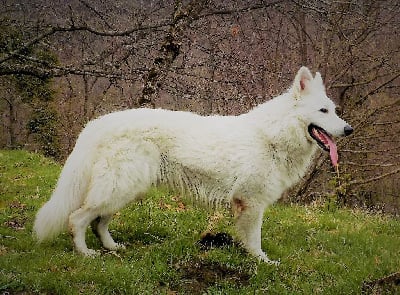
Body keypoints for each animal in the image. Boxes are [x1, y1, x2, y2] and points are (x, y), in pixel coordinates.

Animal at [34, 67, 354, 266]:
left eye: (334, 110)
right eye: (323, 111)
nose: (349, 129)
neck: (273, 135)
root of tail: (100, 123)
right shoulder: (251, 204)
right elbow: (255, 240)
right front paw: (261, 262)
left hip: (125, 190)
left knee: (99, 222)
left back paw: (112, 248)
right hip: (118, 189)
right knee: (77, 219)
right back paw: (85, 253)